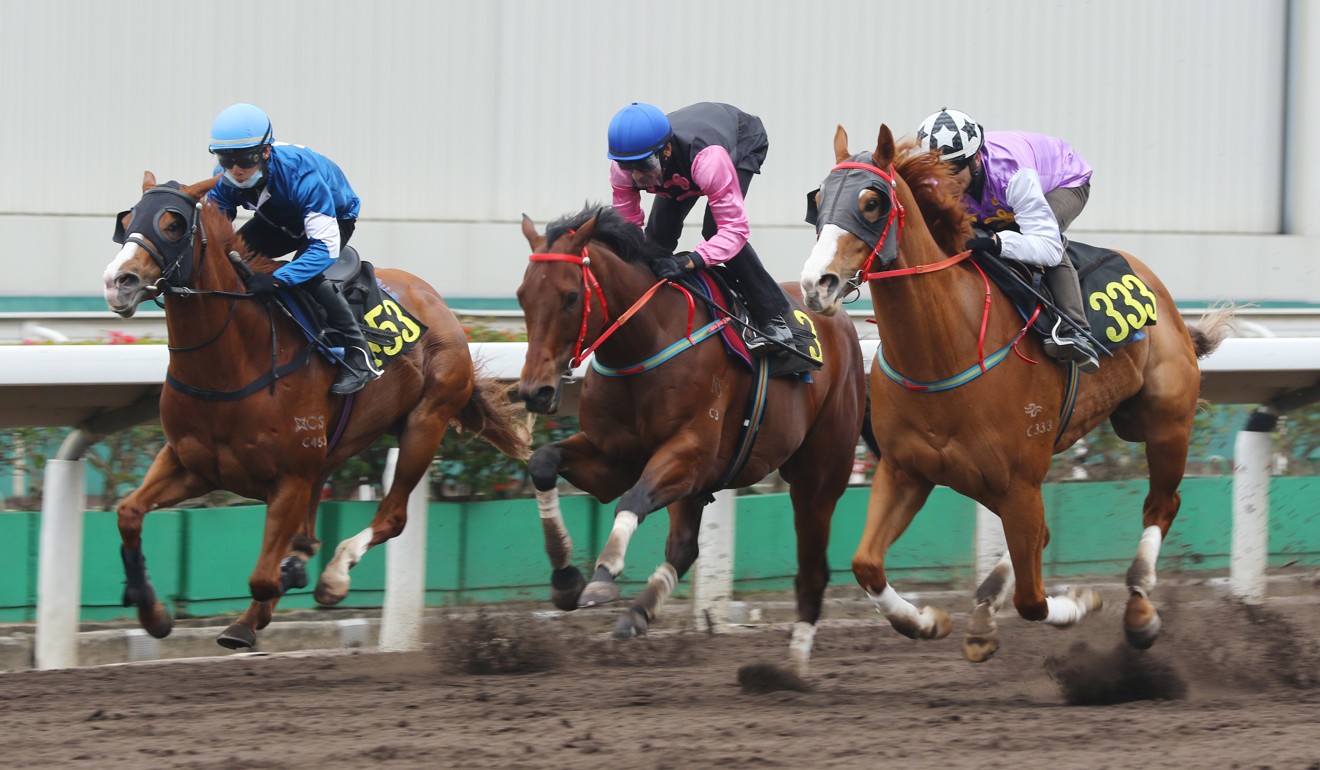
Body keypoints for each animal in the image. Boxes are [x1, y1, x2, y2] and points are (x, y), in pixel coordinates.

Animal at [101, 171, 530, 647]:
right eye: (127, 221)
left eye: (173, 224)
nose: (118, 280)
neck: (231, 364)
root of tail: (438, 302)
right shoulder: (190, 463)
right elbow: (128, 513)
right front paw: (150, 608)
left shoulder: (290, 478)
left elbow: (263, 578)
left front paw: (265, 604)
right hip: (332, 453)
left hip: (426, 421)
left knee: (393, 516)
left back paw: (335, 576)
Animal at [517, 204, 876, 676]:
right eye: (522, 296)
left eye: (571, 297)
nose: (534, 391)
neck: (643, 345)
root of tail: (845, 328)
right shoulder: (613, 459)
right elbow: (543, 463)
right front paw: (564, 577)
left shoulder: (689, 452)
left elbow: (633, 499)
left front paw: (602, 576)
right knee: (685, 547)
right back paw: (638, 614)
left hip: (819, 474)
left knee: (813, 569)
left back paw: (793, 670)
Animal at [792, 126, 1235, 663]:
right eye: (818, 200)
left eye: (871, 203)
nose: (816, 284)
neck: (946, 349)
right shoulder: (905, 472)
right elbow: (866, 566)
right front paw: (928, 622)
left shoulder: (1020, 483)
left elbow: (1033, 600)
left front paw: (1083, 600)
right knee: (1043, 537)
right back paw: (986, 608)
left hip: (1166, 422)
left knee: (1161, 505)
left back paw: (1139, 612)